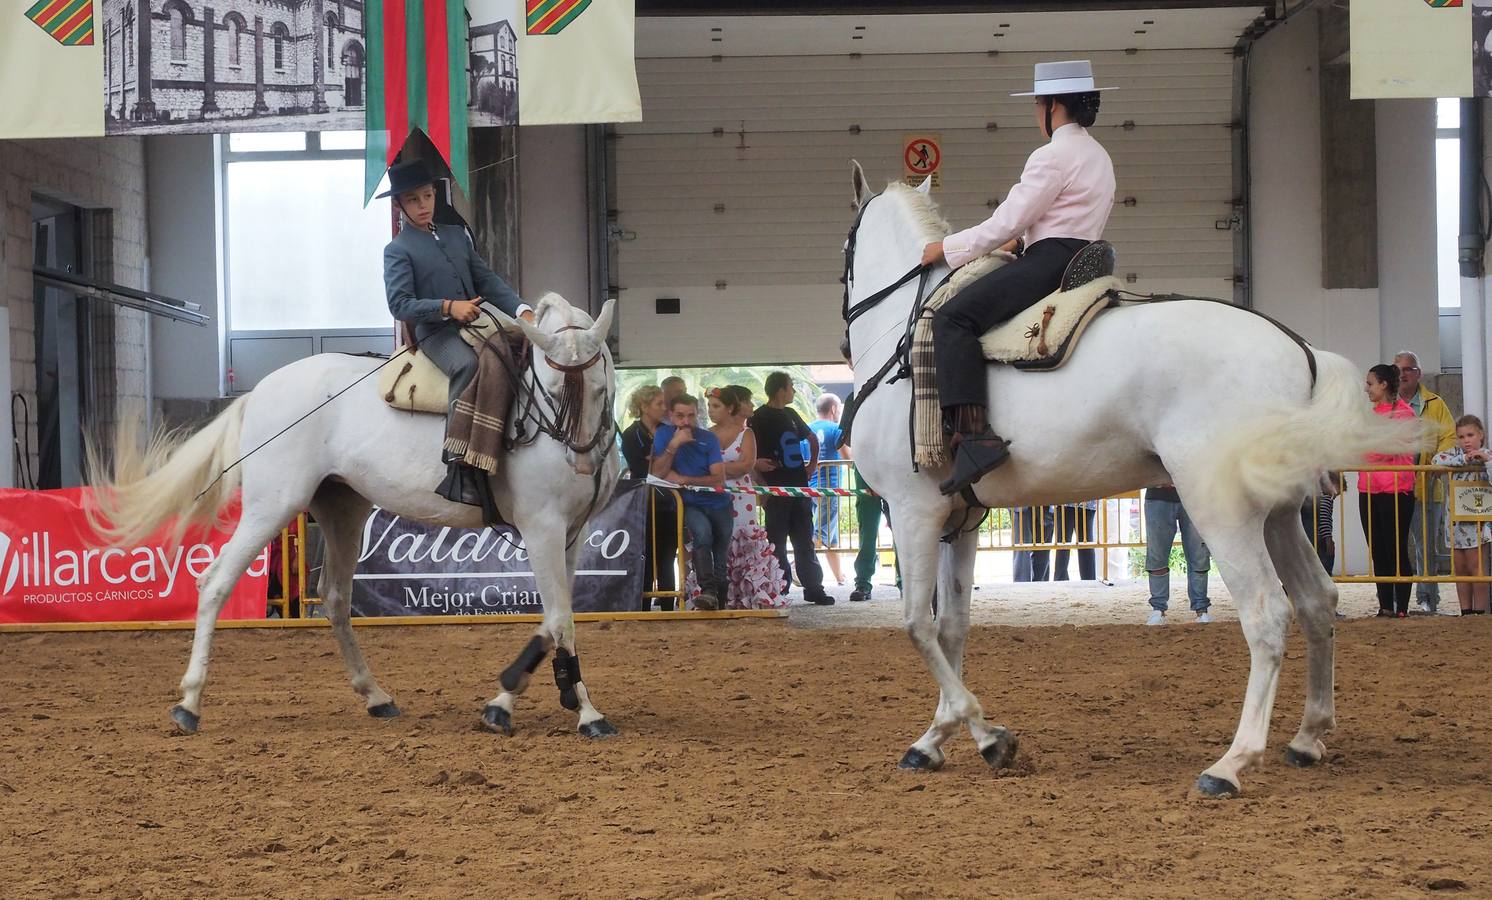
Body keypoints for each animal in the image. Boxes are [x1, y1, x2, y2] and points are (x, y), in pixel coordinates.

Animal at [87, 294, 623, 740]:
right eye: (551, 386)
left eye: (599, 387)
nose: (578, 462)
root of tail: (259, 392)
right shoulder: (541, 527)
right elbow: (560, 617)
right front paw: (572, 711)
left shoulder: (570, 534)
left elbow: (560, 615)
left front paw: (556, 695)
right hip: (272, 505)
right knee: (216, 582)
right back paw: (189, 703)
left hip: (342, 509)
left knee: (335, 597)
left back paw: (375, 696)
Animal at [841, 165, 1420, 800]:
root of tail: (1301, 350)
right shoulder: (959, 521)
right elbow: (952, 629)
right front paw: (938, 738)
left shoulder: (912, 512)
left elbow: (917, 625)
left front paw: (988, 737)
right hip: (1279, 515)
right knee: (1318, 601)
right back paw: (1308, 737)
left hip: (1222, 510)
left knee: (1268, 614)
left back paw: (1230, 765)